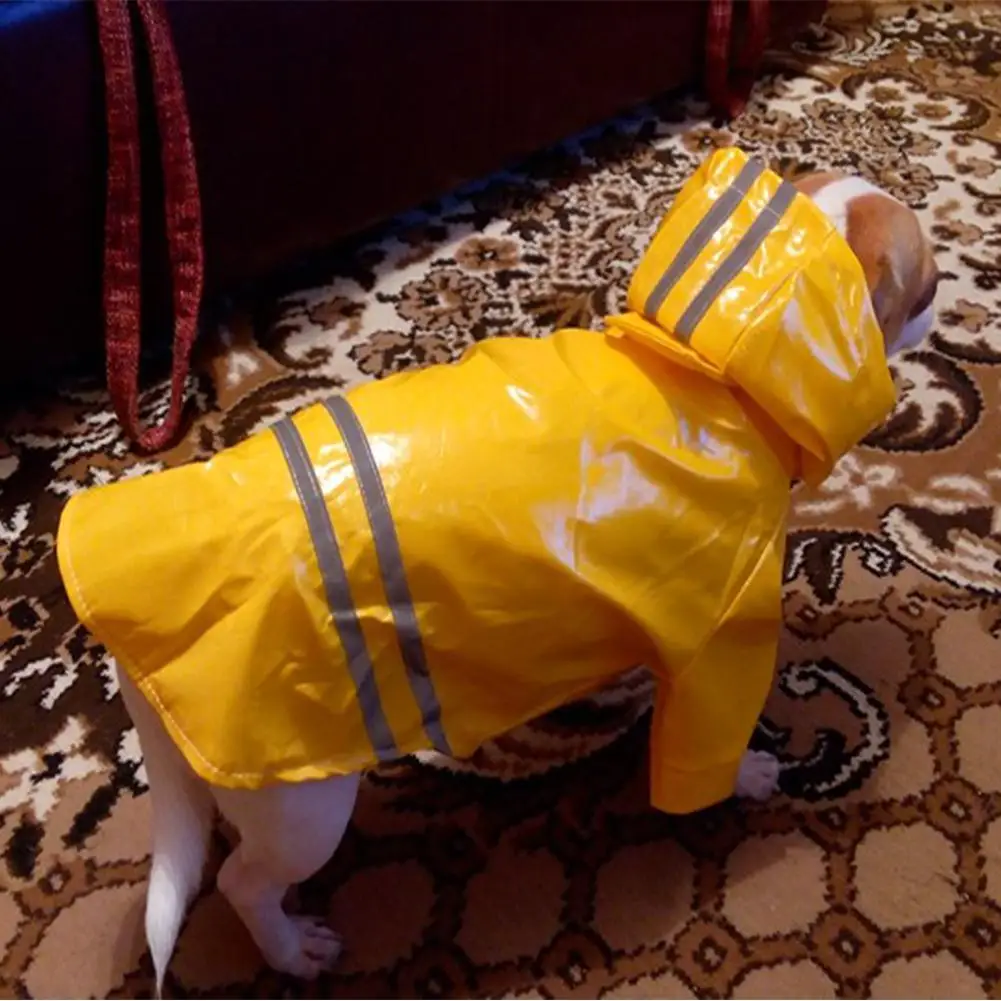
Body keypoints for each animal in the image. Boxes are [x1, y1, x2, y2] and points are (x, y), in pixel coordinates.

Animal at [56, 149, 939, 993]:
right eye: (925, 284)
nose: (945, 304)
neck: (708, 364)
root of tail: (127, 643)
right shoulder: (715, 651)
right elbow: (707, 747)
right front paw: (750, 776)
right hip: (302, 807)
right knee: (243, 881)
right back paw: (291, 948)